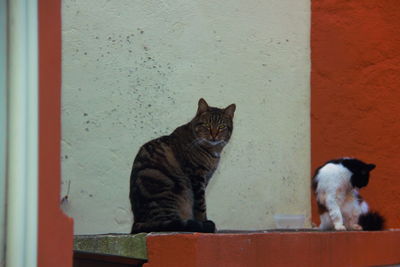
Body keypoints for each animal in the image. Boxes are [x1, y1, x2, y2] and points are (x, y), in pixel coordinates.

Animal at [129, 98, 234, 234]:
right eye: (206, 125)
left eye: (222, 127)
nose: (214, 135)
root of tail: (137, 222)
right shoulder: (197, 176)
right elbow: (201, 205)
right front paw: (204, 222)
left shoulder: (205, 178)